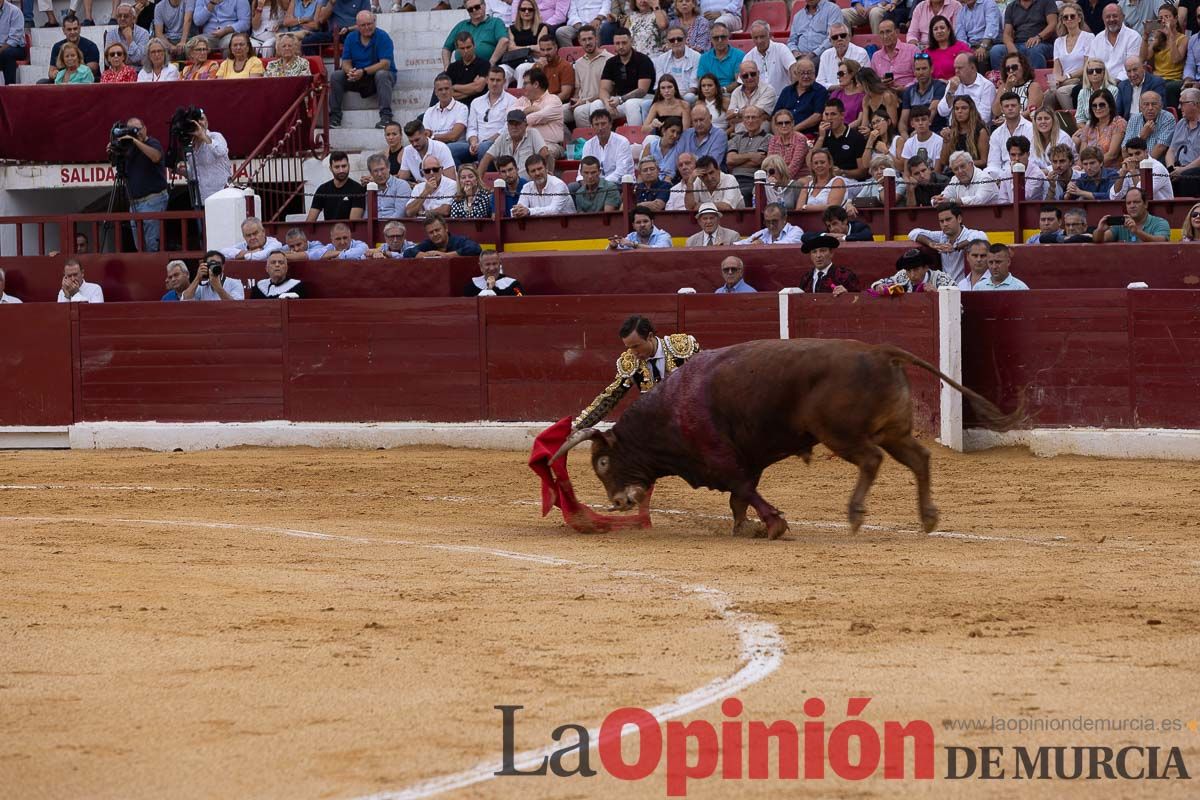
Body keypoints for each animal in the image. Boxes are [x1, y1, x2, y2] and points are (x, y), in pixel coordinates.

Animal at [552, 338, 1022, 537]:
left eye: (602, 463)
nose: (616, 503)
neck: (669, 411)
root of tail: (878, 351)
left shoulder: (723, 459)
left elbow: (742, 490)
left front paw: (774, 525)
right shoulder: (748, 459)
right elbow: (740, 496)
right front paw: (746, 527)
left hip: (841, 434)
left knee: (871, 460)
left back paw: (855, 514)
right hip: (893, 430)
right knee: (919, 458)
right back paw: (927, 518)